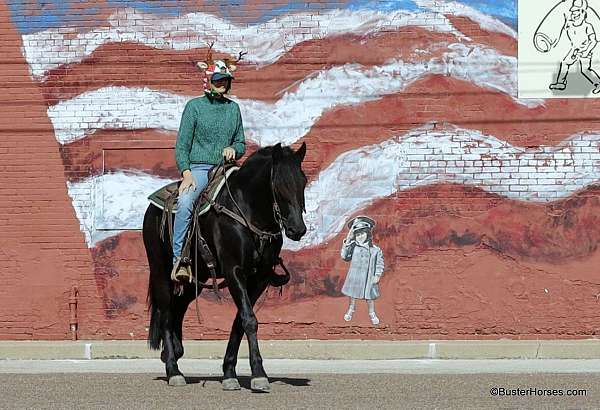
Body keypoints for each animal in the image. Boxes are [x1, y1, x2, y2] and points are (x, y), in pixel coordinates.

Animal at [143, 143, 308, 390]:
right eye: (279, 184)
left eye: (303, 181)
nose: (298, 229)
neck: (248, 212)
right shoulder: (234, 272)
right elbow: (249, 319)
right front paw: (259, 374)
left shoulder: (259, 278)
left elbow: (240, 321)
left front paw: (229, 372)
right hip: (160, 270)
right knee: (165, 311)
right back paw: (173, 369)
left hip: (196, 278)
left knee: (178, 308)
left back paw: (174, 353)